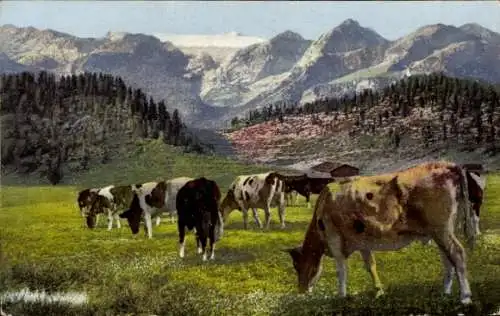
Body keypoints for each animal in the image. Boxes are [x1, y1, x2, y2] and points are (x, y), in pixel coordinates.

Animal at [286, 162, 476, 304]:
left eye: (297, 265)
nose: (301, 290)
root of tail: (445, 165)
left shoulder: (334, 238)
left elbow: (341, 270)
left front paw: (341, 296)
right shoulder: (362, 241)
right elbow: (370, 266)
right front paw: (379, 291)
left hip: (441, 229)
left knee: (457, 254)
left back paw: (465, 297)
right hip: (441, 232)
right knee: (447, 259)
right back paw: (445, 292)